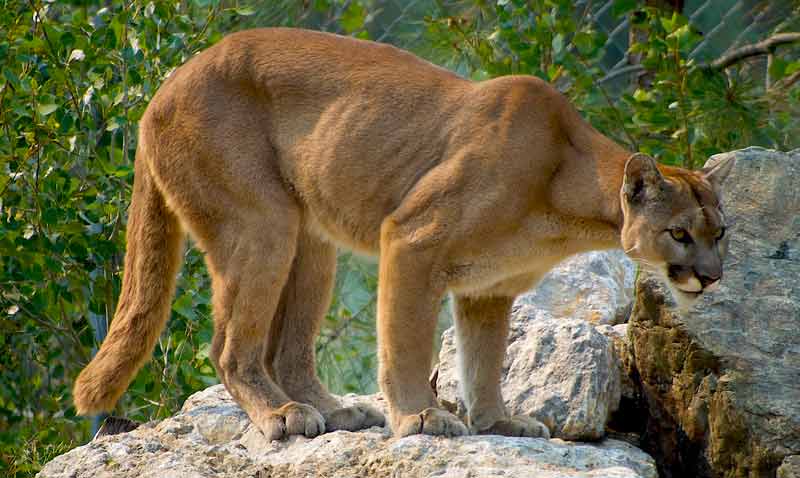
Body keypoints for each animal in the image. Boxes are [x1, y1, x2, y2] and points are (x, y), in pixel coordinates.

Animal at [73, 28, 734, 440]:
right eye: (679, 234)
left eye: (721, 233)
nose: (711, 277)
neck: (567, 200)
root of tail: (162, 88)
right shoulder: (413, 240)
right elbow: (406, 342)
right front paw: (421, 419)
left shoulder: (489, 288)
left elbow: (484, 360)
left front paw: (496, 422)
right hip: (263, 225)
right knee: (230, 347)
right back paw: (283, 415)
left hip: (312, 240)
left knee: (286, 346)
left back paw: (333, 410)